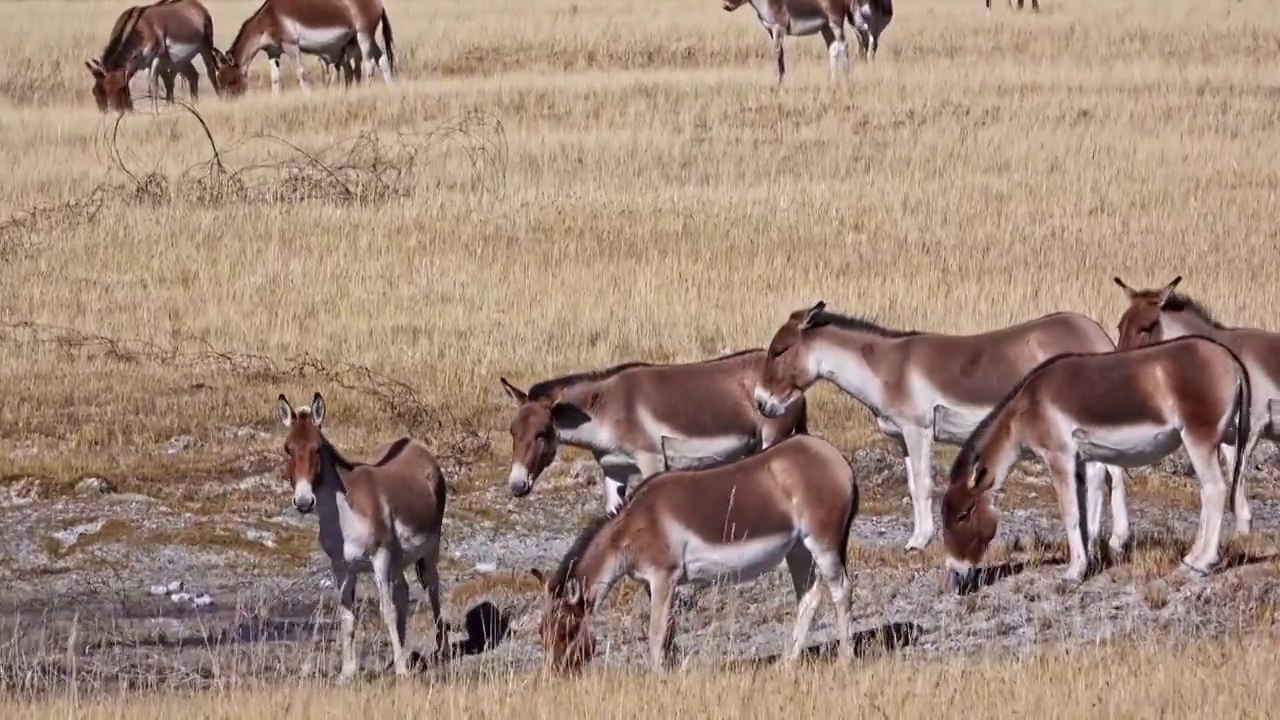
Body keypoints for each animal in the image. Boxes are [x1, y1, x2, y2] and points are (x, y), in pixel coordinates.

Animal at [273, 392, 445, 676]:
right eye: (288, 448)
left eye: (317, 448)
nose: (304, 502)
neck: (344, 516)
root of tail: (415, 444)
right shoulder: (341, 566)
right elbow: (347, 615)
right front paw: (348, 671)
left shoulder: (380, 558)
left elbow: (387, 611)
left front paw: (402, 672)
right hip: (398, 561)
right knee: (404, 593)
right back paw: (402, 654)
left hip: (430, 549)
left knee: (432, 588)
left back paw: (440, 649)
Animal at [529, 430, 860, 671]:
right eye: (542, 630)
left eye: (567, 627)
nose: (555, 675)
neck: (635, 525)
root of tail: (835, 458)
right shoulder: (656, 583)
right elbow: (668, 629)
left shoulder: (664, 576)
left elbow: (655, 632)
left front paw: (656, 677)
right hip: (798, 549)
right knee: (809, 597)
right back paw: (787, 663)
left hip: (823, 542)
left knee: (840, 589)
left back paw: (845, 661)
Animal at [942, 333, 1249, 586]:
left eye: (963, 514)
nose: (956, 576)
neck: (1029, 405)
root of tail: (1230, 358)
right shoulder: (1081, 460)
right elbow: (1085, 511)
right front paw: (1088, 562)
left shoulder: (1059, 456)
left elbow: (1069, 513)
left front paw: (1072, 573)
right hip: (1216, 439)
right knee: (1209, 491)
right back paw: (1191, 558)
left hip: (1199, 438)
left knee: (1215, 490)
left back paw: (1201, 564)